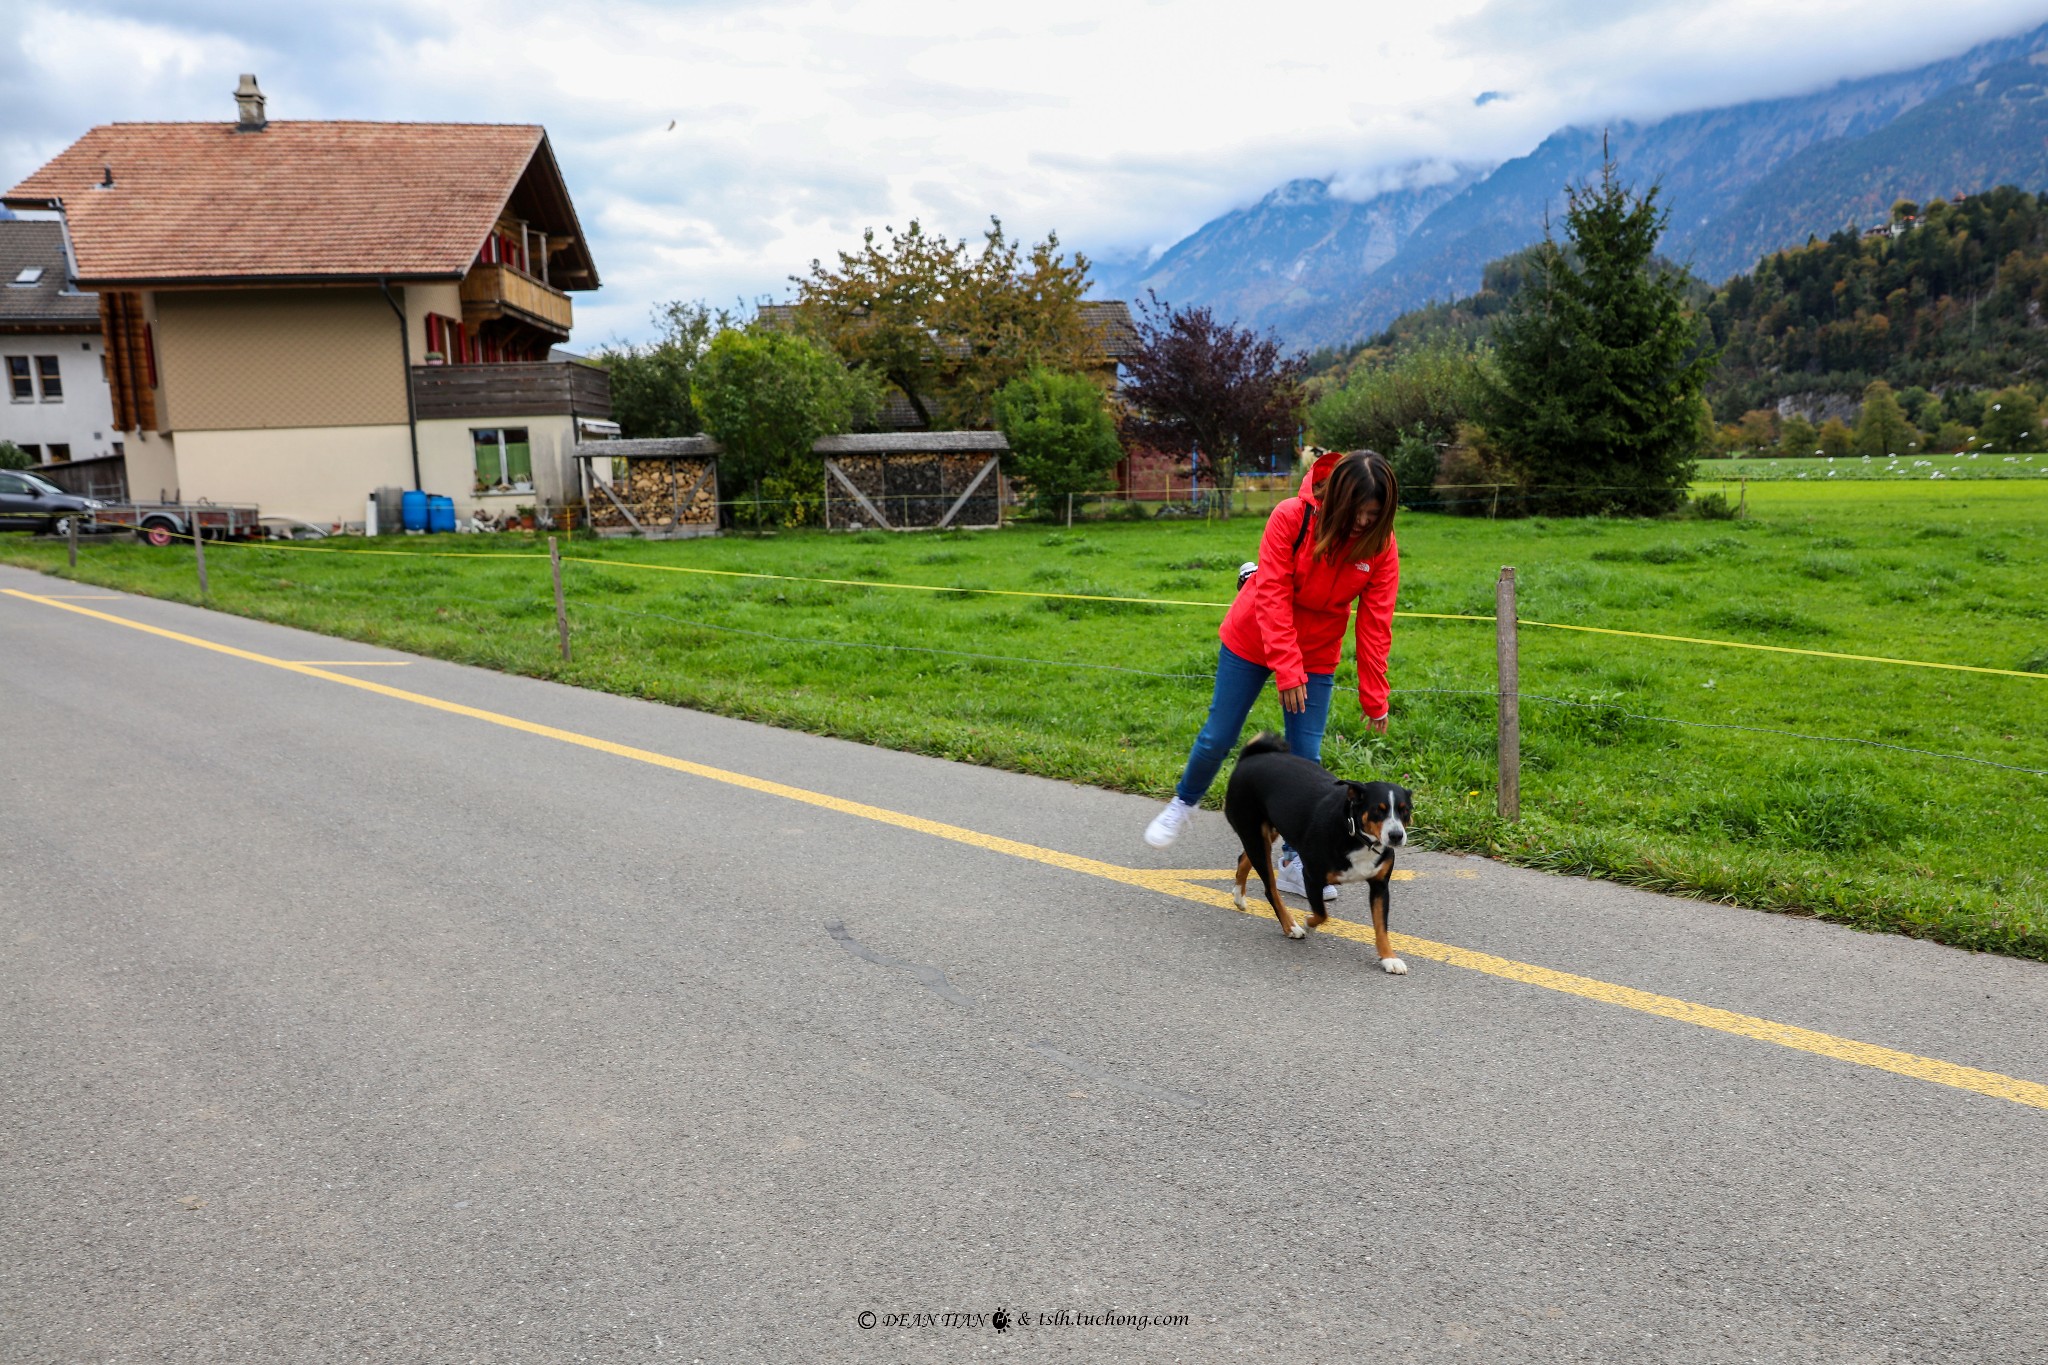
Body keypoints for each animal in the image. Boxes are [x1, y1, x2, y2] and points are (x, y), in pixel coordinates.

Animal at [1220, 736, 1417, 970]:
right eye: (1379, 809)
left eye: (1405, 810)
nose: (1396, 835)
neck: (1356, 835)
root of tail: (1250, 758)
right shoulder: (1312, 877)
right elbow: (1322, 914)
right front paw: (1307, 923)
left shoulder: (1379, 885)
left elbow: (1381, 926)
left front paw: (1388, 957)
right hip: (1255, 836)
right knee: (1270, 890)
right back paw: (1291, 926)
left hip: (1268, 832)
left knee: (1243, 859)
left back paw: (1239, 896)